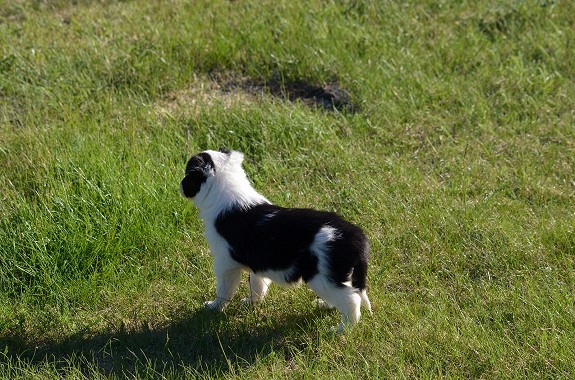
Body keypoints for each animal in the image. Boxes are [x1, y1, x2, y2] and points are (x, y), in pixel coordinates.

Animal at [180, 147, 374, 332]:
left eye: (187, 175)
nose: (180, 185)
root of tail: (356, 237)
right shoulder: (256, 264)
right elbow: (257, 285)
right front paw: (250, 303)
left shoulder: (225, 263)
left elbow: (224, 290)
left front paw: (213, 307)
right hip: (335, 275)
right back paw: (325, 305)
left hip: (322, 277)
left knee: (351, 300)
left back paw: (341, 329)